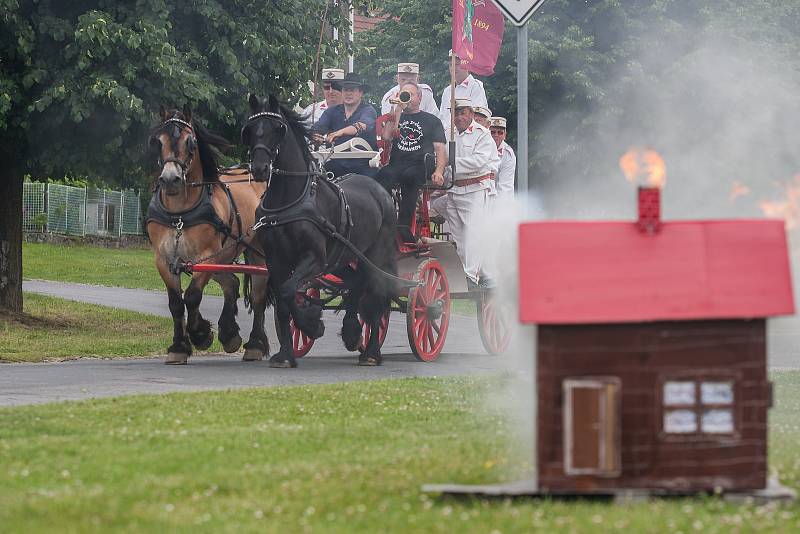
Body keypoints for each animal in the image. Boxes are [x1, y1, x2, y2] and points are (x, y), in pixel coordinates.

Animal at [149, 104, 272, 364]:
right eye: (158, 141)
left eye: (191, 142)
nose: (170, 179)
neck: (179, 214)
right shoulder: (164, 260)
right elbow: (176, 303)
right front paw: (179, 347)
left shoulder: (205, 257)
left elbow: (192, 296)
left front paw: (200, 334)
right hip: (224, 256)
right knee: (232, 283)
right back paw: (229, 333)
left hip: (255, 252)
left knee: (258, 295)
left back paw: (255, 344)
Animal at [241, 94, 396, 368]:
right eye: (250, 130)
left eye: (277, 129)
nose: (259, 168)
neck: (290, 200)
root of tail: (380, 190)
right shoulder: (276, 260)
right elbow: (284, 299)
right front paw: (286, 354)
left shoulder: (314, 258)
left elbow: (289, 291)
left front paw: (311, 324)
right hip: (344, 258)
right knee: (357, 283)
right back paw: (352, 332)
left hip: (375, 256)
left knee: (375, 296)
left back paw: (371, 353)